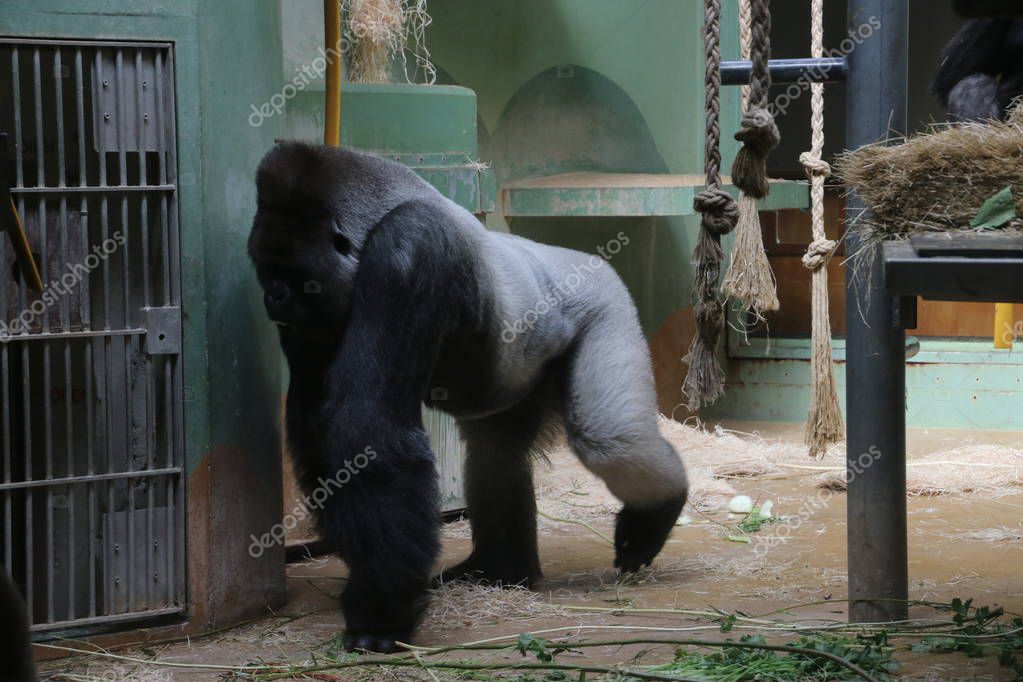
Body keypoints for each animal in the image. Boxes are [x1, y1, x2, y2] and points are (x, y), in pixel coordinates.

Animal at [248, 142, 688, 653]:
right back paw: (500, 569)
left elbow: (366, 425)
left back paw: (656, 512)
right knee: (497, 452)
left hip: (606, 302)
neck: (376, 216)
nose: (272, 299)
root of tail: (587, 260)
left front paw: (381, 609)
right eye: (265, 269)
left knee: (610, 439)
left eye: (295, 274)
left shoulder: (408, 248)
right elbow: (318, 425)